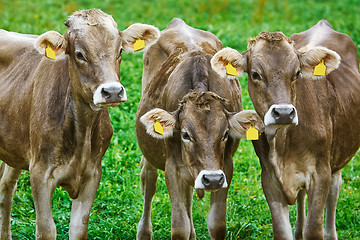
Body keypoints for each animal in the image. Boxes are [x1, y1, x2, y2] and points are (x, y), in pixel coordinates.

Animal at [0, 8, 159, 239]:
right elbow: (46, 229)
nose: (112, 91)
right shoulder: (40, 173)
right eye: (79, 54)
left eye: (120, 50)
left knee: (6, 187)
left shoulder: (92, 173)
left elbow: (78, 227)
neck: (81, 133)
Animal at [135, 17, 264, 239]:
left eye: (225, 134)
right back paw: (144, 231)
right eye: (185, 135)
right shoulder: (172, 168)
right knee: (148, 179)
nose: (211, 179)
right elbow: (179, 227)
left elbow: (216, 224)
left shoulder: (225, 168)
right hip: (151, 153)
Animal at [211, 19, 360, 239]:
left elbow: (314, 228)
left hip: (336, 160)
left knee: (334, 190)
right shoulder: (269, 179)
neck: (282, 143)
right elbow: (282, 231)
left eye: (297, 73)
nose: (283, 113)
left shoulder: (320, 174)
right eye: (255, 74)